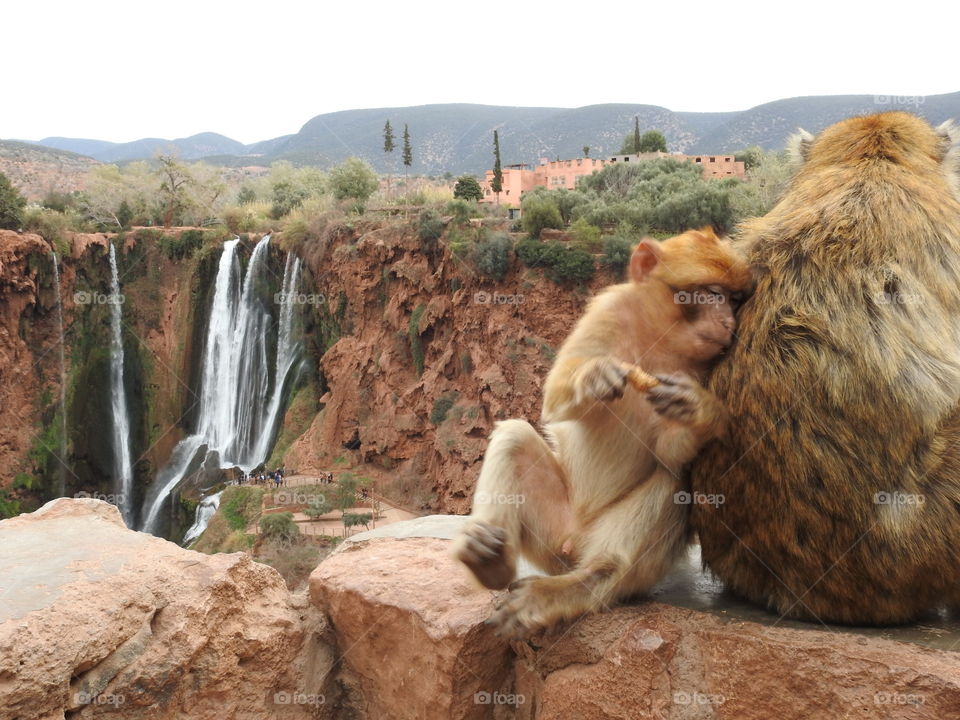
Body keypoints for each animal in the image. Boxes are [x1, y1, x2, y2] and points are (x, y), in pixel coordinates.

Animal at [454, 228, 752, 640]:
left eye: (734, 300)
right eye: (710, 293)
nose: (727, 323)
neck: (660, 338)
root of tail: (576, 539)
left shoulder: (710, 367)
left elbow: (670, 453)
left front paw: (698, 409)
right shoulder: (608, 311)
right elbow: (554, 398)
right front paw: (592, 376)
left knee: (673, 481)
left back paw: (582, 583)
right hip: (551, 535)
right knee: (514, 436)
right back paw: (491, 560)